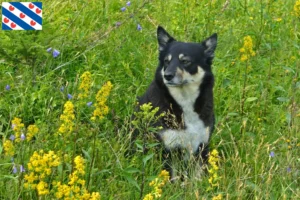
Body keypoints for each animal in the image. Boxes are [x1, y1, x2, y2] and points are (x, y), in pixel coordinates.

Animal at [130, 25, 217, 180]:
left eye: (185, 61)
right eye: (166, 61)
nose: (167, 75)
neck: (184, 102)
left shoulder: (202, 147)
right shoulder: (168, 150)